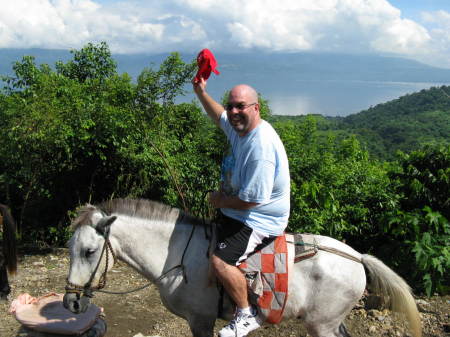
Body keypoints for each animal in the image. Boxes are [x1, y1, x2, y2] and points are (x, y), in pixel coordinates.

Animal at [63, 197, 422, 336]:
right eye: (70, 249)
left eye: (90, 251)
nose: (71, 302)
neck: (177, 255)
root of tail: (357, 257)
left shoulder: (201, 321)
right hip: (331, 322)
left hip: (322, 324)